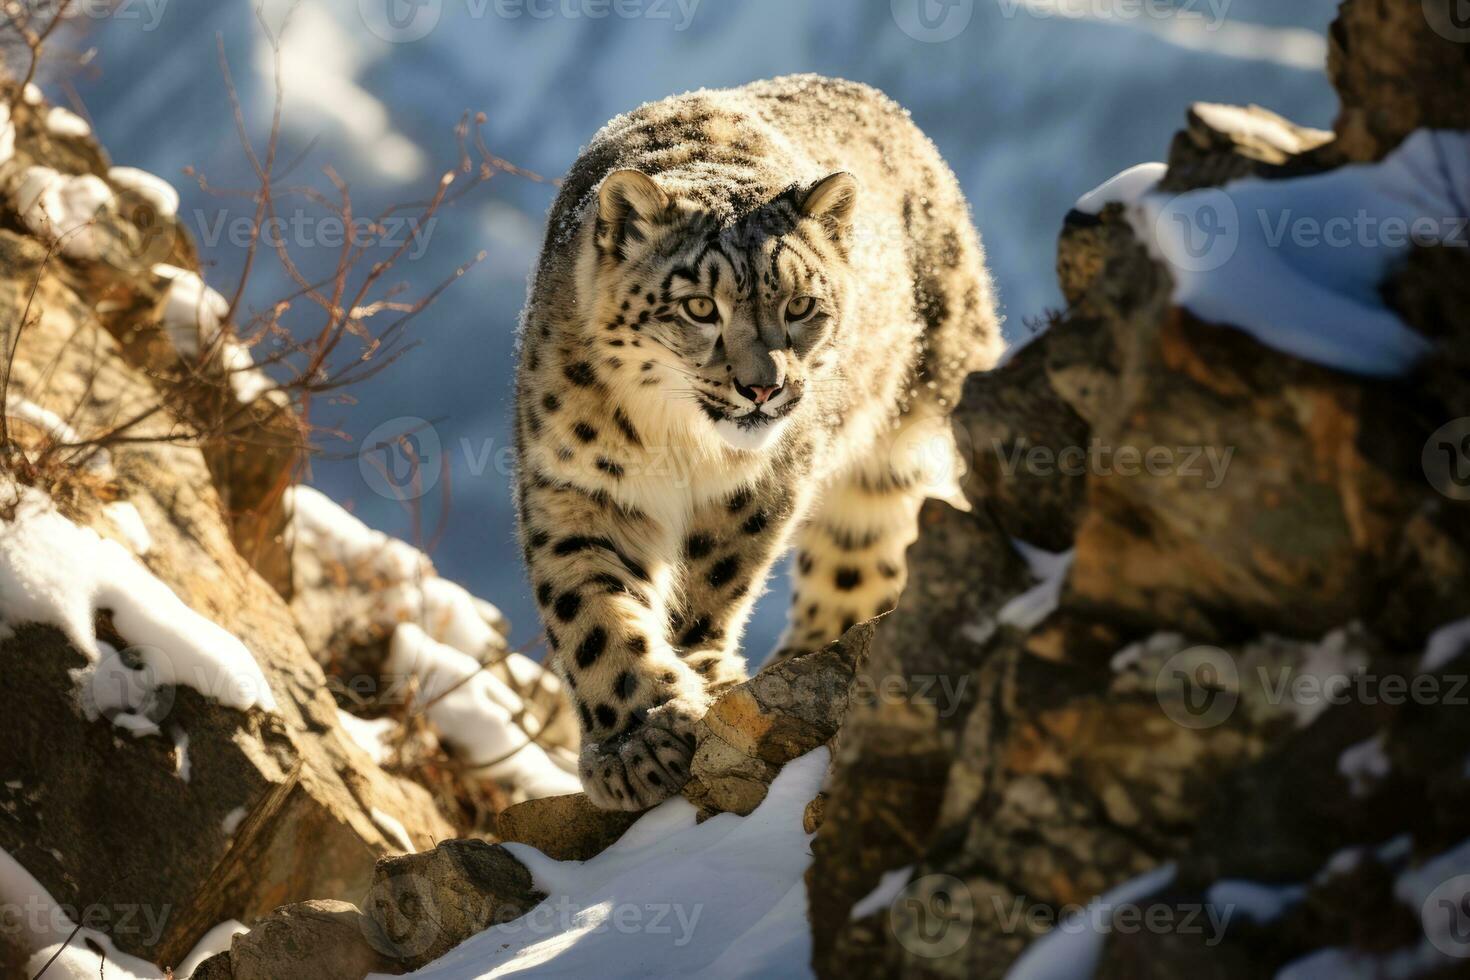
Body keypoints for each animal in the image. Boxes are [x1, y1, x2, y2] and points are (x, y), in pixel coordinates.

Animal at [511, 76, 1005, 811]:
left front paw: (698, 684)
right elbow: (589, 606)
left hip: (914, 427)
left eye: (801, 305)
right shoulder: (579, 483)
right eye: (698, 307)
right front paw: (636, 741)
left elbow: (711, 581)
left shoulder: (762, 480)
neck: (678, 442)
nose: (762, 387)